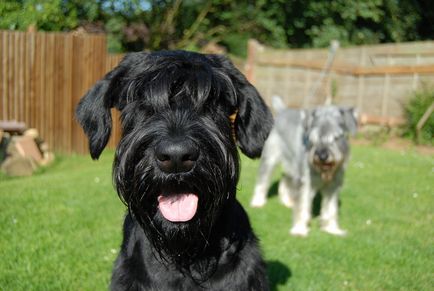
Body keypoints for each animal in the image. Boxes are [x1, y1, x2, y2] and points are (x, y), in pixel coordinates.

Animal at [251, 97, 356, 238]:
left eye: (337, 137)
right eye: (313, 137)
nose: (322, 156)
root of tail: (282, 111)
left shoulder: (333, 186)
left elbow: (331, 208)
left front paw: (332, 229)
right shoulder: (305, 182)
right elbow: (302, 205)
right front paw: (299, 230)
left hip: (292, 166)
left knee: (285, 178)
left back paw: (288, 201)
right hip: (270, 159)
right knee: (263, 180)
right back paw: (257, 202)